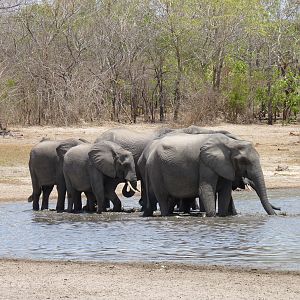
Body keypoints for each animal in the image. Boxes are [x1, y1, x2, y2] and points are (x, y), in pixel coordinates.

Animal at [139, 132, 278, 217]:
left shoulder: (225, 166)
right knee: (162, 196)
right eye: (244, 161)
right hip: (156, 169)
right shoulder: (205, 163)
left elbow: (225, 193)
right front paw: (212, 216)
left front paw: (222, 216)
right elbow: (206, 189)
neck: (231, 143)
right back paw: (165, 215)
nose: (279, 214)